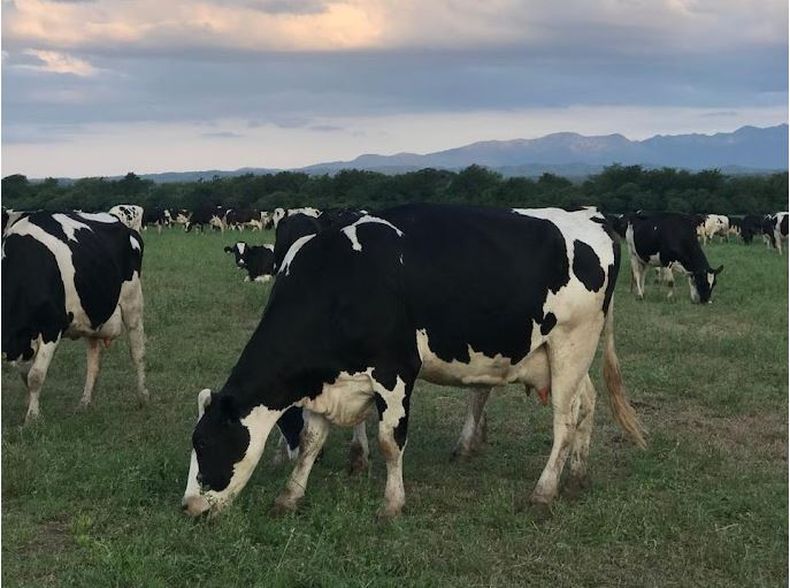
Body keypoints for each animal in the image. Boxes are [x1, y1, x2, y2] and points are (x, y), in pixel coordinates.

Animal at [2, 211, 148, 422]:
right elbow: (25, 376)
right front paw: (31, 407)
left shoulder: (51, 327)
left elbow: (35, 375)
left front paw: (32, 417)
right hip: (92, 316)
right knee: (94, 362)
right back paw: (85, 403)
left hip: (133, 302)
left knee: (137, 352)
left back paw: (143, 396)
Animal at [183, 203, 648, 520]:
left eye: (203, 443)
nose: (189, 506)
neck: (341, 281)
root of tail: (593, 217)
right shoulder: (328, 380)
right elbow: (313, 440)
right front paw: (290, 496)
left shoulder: (396, 371)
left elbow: (391, 441)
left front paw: (392, 504)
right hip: (556, 355)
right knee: (587, 404)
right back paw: (577, 476)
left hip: (573, 344)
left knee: (564, 421)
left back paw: (545, 490)